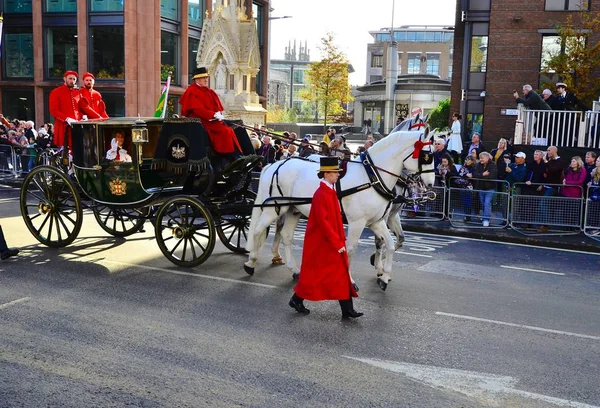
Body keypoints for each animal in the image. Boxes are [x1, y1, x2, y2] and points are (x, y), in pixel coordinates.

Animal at [244, 127, 436, 290]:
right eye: (427, 156)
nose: (430, 184)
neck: (372, 176)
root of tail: (275, 164)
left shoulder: (376, 221)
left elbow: (388, 244)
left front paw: (384, 275)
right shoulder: (357, 222)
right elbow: (350, 249)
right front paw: (350, 281)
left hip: (293, 209)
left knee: (286, 236)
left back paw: (294, 269)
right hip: (274, 207)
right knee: (258, 229)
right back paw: (251, 261)